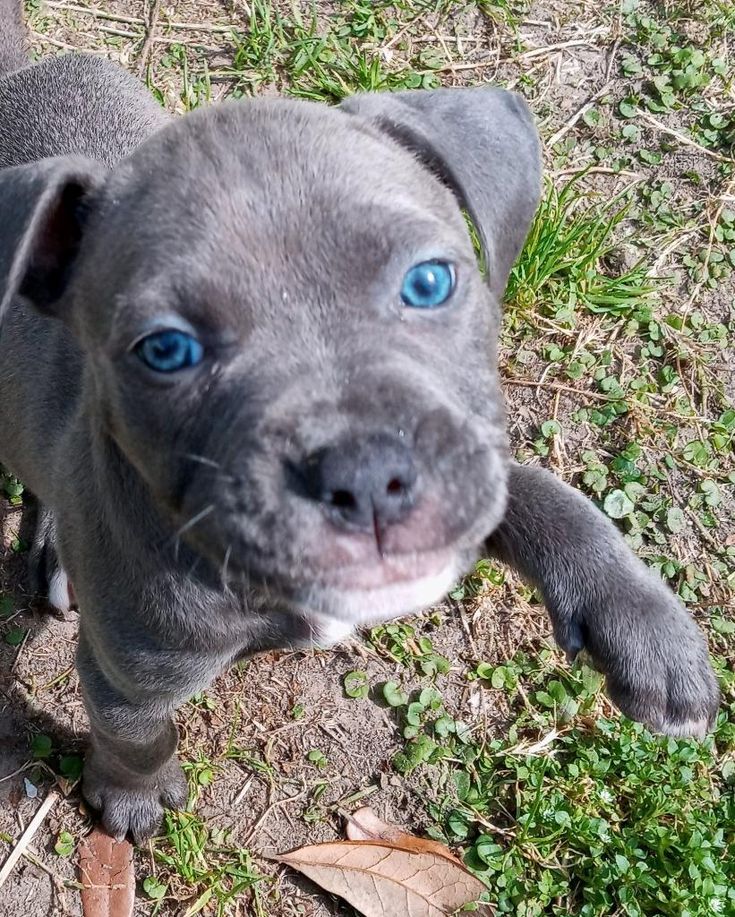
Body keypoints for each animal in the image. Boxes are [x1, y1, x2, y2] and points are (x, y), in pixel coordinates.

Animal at [0, 1, 720, 844]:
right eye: (166, 350)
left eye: (429, 281)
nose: (366, 476)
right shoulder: (127, 677)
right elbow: (140, 735)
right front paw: (131, 796)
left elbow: (545, 493)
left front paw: (646, 626)